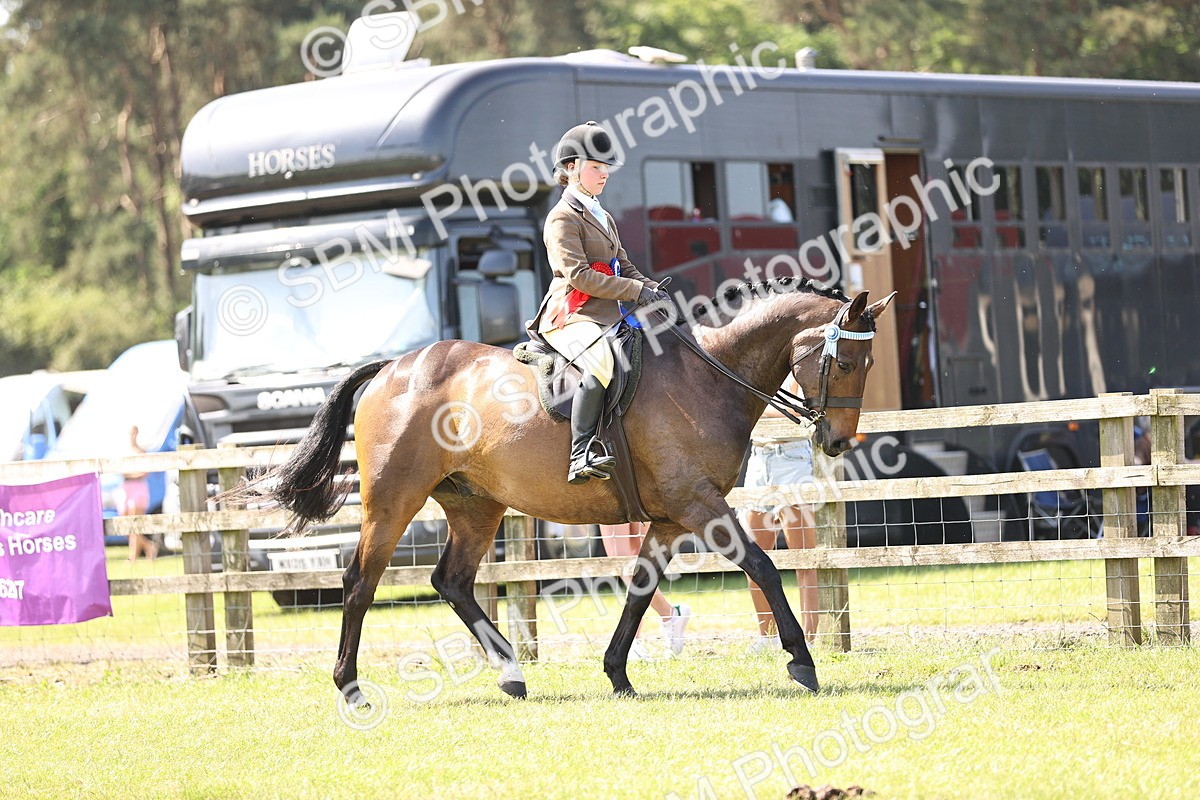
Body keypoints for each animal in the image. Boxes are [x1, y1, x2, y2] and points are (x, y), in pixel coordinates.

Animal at [236, 277, 894, 702]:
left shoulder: (670, 519)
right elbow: (763, 566)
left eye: (867, 365)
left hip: (476, 504)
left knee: (452, 581)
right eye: (844, 364)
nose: (837, 441)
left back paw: (510, 674)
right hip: (393, 502)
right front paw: (802, 661)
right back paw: (350, 688)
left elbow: (639, 589)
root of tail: (394, 367)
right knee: (360, 583)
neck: (708, 376)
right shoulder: (698, 505)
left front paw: (617, 673)